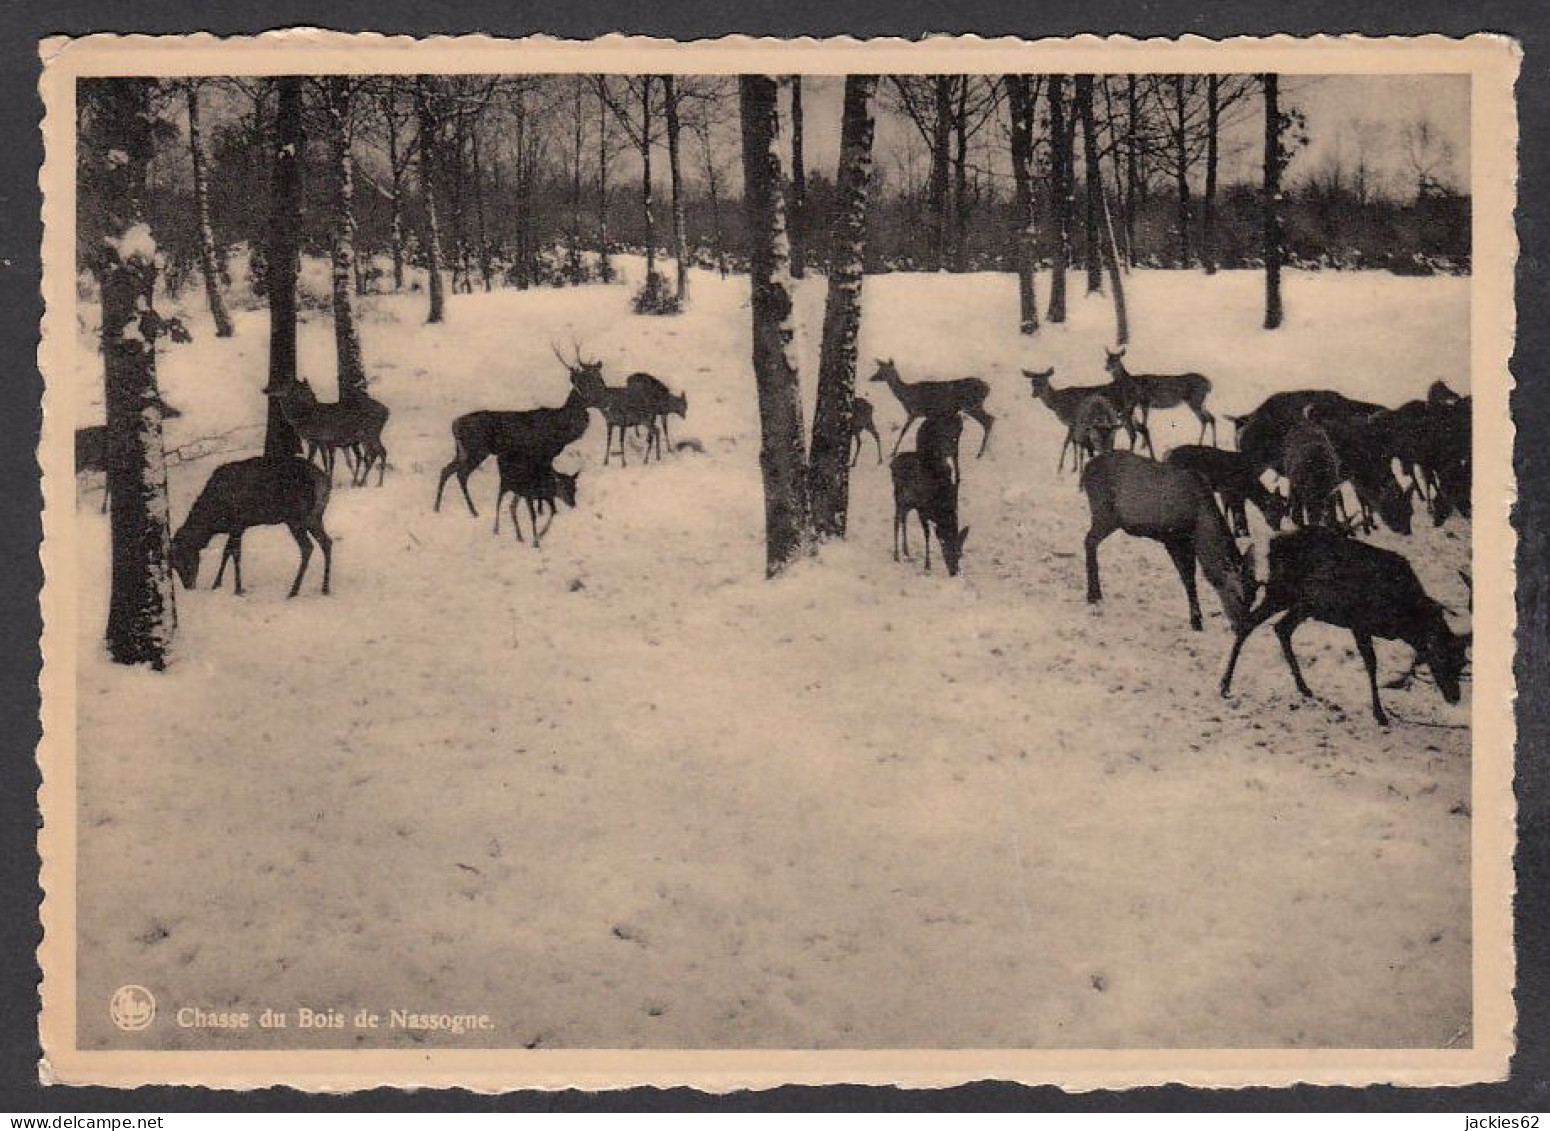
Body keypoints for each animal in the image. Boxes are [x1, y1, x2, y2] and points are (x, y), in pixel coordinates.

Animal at [169, 455, 333, 604]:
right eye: (173, 565)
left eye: (183, 558)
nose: (188, 586)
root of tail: (325, 482)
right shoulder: (239, 527)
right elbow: (227, 552)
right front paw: (216, 584)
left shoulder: (237, 524)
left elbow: (235, 554)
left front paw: (237, 589)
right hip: (314, 516)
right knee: (327, 542)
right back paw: (324, 588)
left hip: (296, 517)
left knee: (307, 547)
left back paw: (293, 591)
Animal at [434, 340, 595, 514]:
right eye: (582, 383)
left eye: (592, 379)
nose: (593, 398)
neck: (562, 429)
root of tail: (455, 424)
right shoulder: (543, 452)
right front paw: (543, 510)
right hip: (476, 449)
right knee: (461, 474)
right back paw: (473, 511)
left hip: (462, 451)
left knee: (446, 470)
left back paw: (437, 507)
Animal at [1078, 452, 1258, 635]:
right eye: (1237, 595)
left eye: (1254, 595)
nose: (1244, 628)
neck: (1198, 524)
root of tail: (1085, 471)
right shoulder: (1173, 538)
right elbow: (1188, 577)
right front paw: (1196, 621)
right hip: (1104, 512)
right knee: (1089, 540)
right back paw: (1093, 595)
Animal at [1221, 526, 1463, 721]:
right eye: (1441, 657)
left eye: (1461, 663)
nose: (1455, 697)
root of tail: (1273, 544)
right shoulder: (1359, 622)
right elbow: (1371, 663)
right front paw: (1379, 713)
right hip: (1281, 591)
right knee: (1247, 623)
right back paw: (1225, 685)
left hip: (1305, 604)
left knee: (1281, 628)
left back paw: (1304, 687)